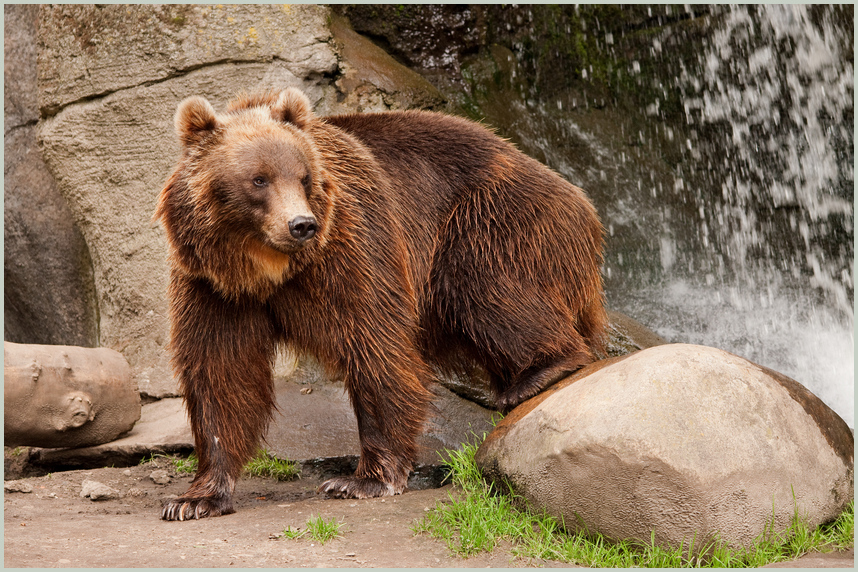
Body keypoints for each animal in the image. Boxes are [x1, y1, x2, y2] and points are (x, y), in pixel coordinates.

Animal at [155, 87, 608, 520]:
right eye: (259, 179)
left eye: (303, 177)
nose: (302, 225)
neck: (263, 267)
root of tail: (578, 198)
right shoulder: (210, 285)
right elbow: (221, 372)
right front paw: (195, 499)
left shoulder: (350, 246)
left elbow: (373, 341)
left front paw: (363, 478)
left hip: (484, 219)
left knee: (487, 289)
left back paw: (537, 373)